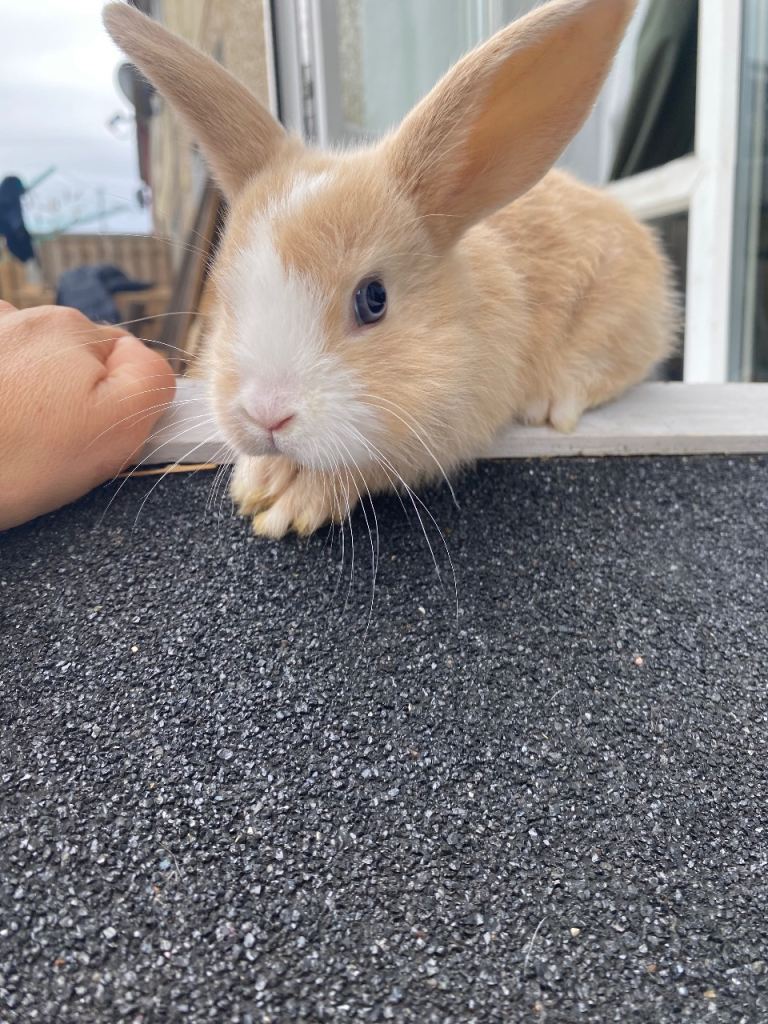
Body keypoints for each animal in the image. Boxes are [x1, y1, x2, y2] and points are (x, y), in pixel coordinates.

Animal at [104, 0, 677, 539]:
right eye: (227, 294)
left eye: (373, 298)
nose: (267, 414)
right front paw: (257, 482)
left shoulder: (442, 428)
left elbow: (367, 466)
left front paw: (292, 502)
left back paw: (552, 401)